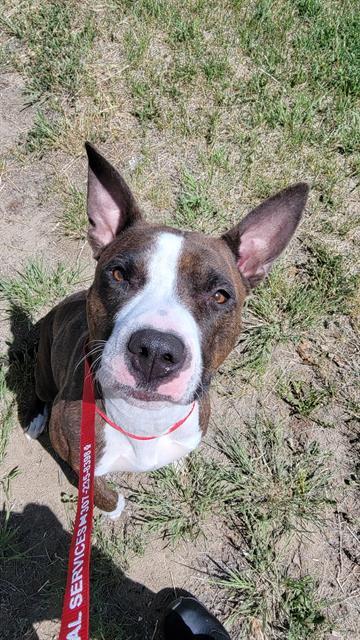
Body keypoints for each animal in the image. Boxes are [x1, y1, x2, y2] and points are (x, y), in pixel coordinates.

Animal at [26, 142, 306, 516]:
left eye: (220, 296)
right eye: (119, 274)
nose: (156, 351)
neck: (144, 422)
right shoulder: (80, 459)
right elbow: (99, 490)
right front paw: (113, 509)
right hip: (44, 365)